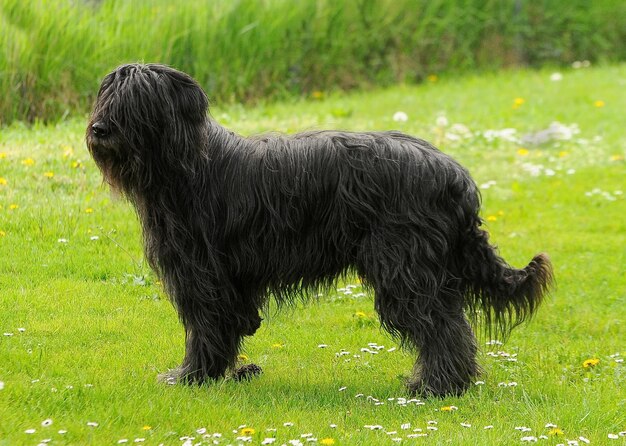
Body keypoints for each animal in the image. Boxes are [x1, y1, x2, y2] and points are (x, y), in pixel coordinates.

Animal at [85, 63, 548, 398]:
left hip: (405, 266)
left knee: (441, 326)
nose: (99, 129)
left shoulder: (202, 272)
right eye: (105, 97)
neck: (186, 166)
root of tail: (456, 174)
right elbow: (229, 325)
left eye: (136, 102)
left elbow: (207, 326)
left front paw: (192, 377)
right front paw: (228, 373)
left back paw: (436, 387)